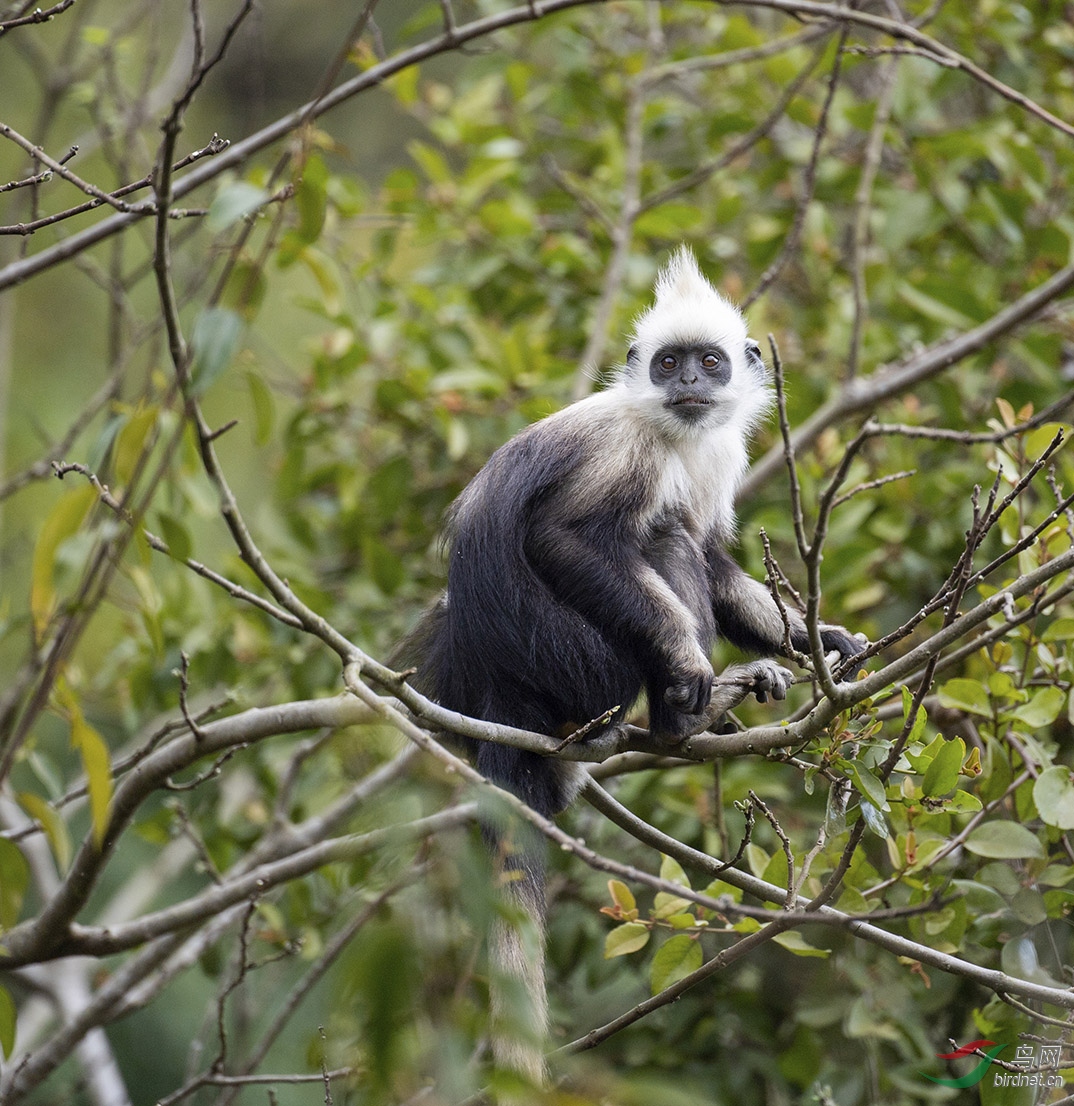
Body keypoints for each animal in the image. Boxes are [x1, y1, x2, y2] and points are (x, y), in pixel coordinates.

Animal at [398, 246, 862, 1083]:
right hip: (575, 661)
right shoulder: (629, 451)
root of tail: (494, 690)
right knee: (661, 537)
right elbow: (564, 536)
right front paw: (686, 663)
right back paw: (685, 716)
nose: (685, 384)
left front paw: (828, 640)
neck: (675, 431)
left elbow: (715, 560)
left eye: (709, 363)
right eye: (669, 362)